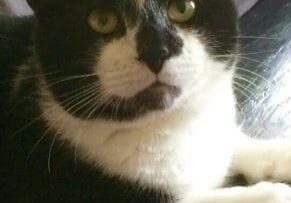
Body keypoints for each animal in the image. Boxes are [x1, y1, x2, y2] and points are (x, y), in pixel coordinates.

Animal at [1, 0, 291, 202]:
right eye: (102, 19)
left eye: (183, 8)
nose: (155, 51)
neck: (167, 125)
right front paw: (274, 194)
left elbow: (233, 142)